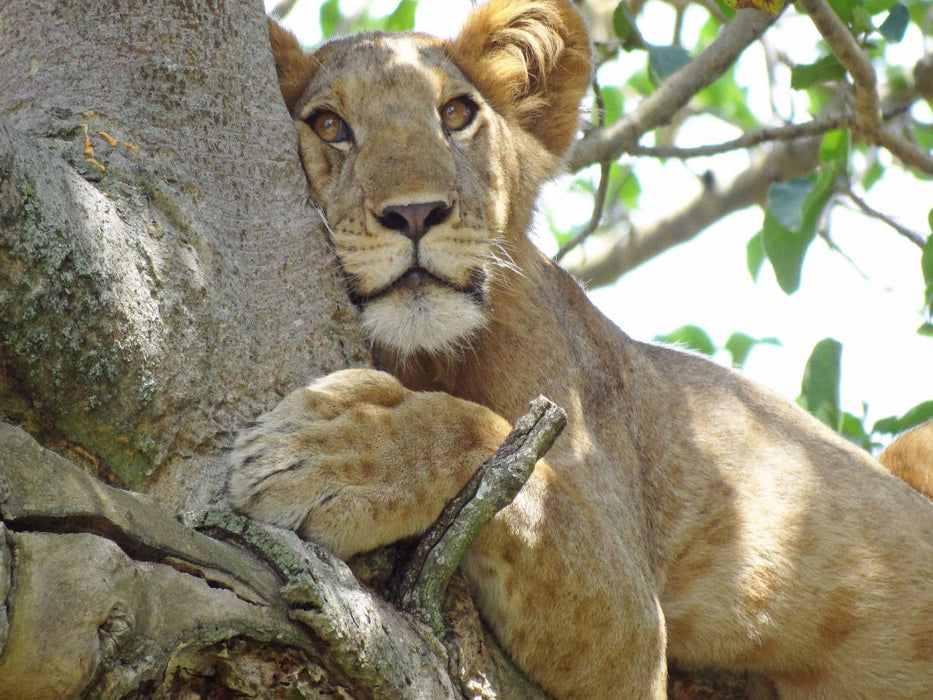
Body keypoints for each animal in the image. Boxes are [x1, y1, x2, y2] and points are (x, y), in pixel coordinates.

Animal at [228, 1, 933, 697]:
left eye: (455, 115)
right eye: (329, 125)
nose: (416, 214)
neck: (427, 355)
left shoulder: (636, 635)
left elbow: (490, 443)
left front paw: (333, 452)